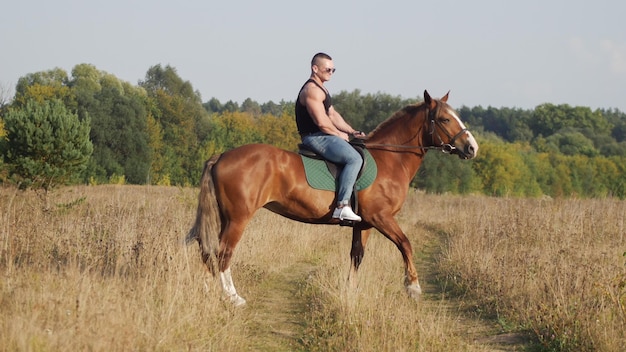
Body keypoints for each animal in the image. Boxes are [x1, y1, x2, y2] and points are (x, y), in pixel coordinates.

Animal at [185, 90, 478, 306]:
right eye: (444, 119)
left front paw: (350, 291)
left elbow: (357, 256)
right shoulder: (381, 218)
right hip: (238, 218)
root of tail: (222, 156)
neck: (389, 158)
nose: (471, 147)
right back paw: (233, 297)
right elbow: (405, 244)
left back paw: (207, 291)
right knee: (223, 253)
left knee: (208, 252)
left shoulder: (364, 223)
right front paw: (413, 287)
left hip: (226, 218)